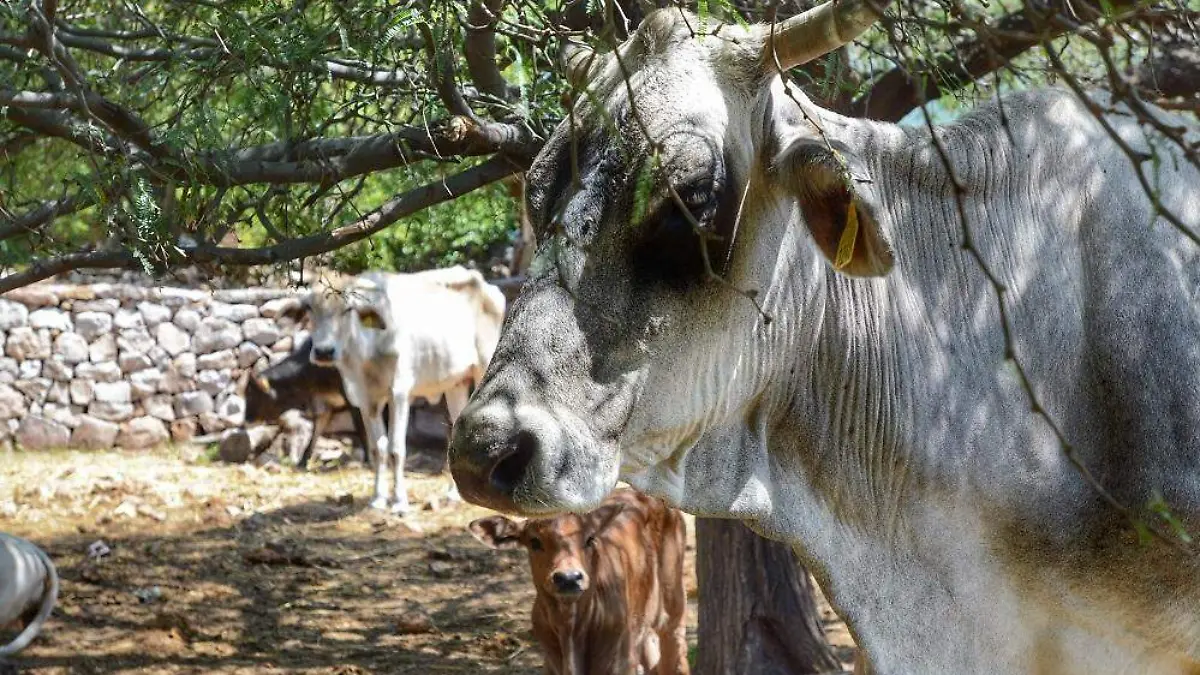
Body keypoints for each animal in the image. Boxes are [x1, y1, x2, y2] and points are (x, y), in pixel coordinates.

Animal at [293, 266, 506, 513]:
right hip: (456, 383)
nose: (324, 351)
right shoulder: (366, 399)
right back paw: (453, 494)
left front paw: (399, 502)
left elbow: (396, 449)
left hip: (484, 366)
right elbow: (377, 448)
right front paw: (378, 498)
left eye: (348, 309)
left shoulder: (399, 394)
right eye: (309, 308)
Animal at [470, 488, 689, 675]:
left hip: (673, 611)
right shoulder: (550, 665)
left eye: (590, 539)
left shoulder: (620, 663)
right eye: (534, 541)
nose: (569, 578)